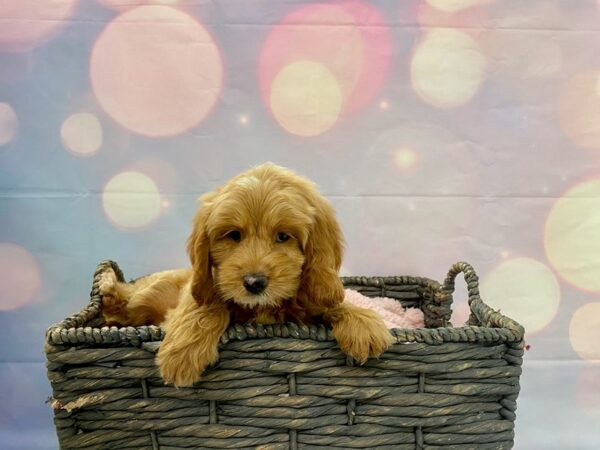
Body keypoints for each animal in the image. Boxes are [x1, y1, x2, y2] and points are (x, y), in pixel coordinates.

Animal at [99, 163, 394, 388]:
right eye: (234, 235)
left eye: (283, 236)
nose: (254, 283)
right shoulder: (201, 290)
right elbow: (208, 306)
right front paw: (182, 352)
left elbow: (334, 304)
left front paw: (363, 323)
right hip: (146, 297)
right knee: (122, 303)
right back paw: (108, 287)